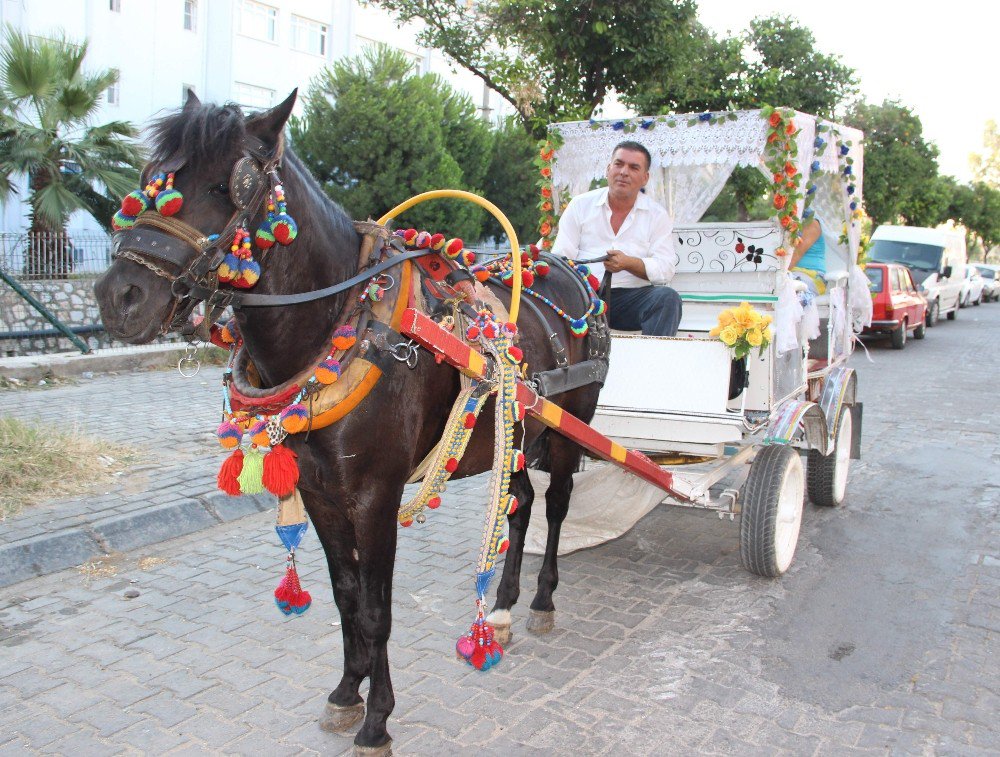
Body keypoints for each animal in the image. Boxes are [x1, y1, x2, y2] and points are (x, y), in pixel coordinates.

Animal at [95, 91, 600, 752]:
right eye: (150, 181)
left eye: (227, 185)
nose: (119, 297)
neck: (340, 322)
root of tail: (571, 270)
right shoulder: (319, 493)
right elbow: (345, 597)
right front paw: (345, 689)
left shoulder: (374, 497)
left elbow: (377, 610)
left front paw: (377, 718)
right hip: (512, 432)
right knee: (517, 505)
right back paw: (503, 607)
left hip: (567, 429)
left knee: (557, 505)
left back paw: (540, 600)